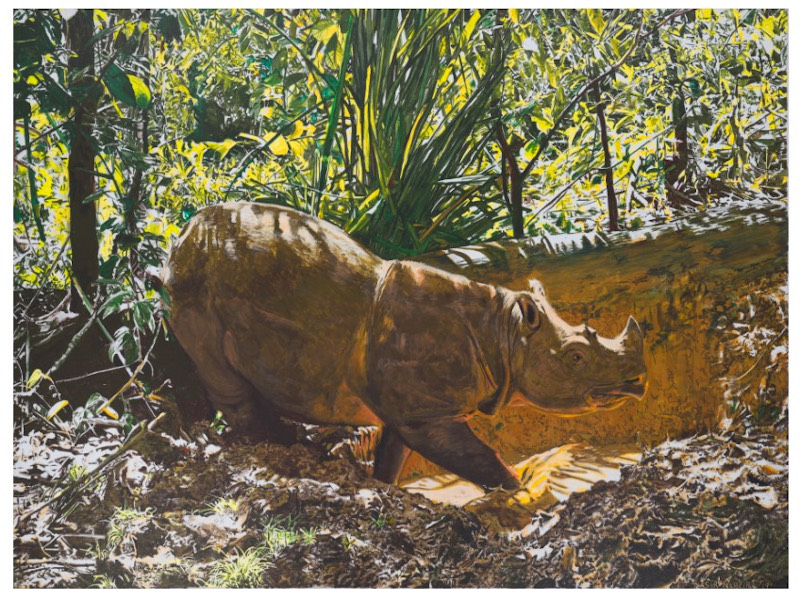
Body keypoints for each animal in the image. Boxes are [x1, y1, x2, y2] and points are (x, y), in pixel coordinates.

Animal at [162, 202, 647, 491]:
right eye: (575, 357)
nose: (640, 382)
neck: (503, 334)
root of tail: (180, 239)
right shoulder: (427, 411)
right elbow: (479, 457)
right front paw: (522, 488)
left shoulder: (408, 408)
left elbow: (393, 455)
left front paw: (380, 487)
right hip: (195, 290)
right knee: (218, 368)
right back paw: (285, 445)